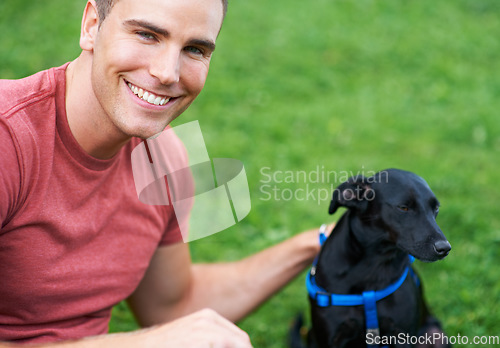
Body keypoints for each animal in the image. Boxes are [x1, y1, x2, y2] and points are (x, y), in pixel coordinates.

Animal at [292, 169, 454, 348]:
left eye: (436, 208)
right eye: (403, 207)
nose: (444, 248)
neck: (374, 264)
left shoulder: (403, 336)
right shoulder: (330, 339)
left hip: (436, 335)